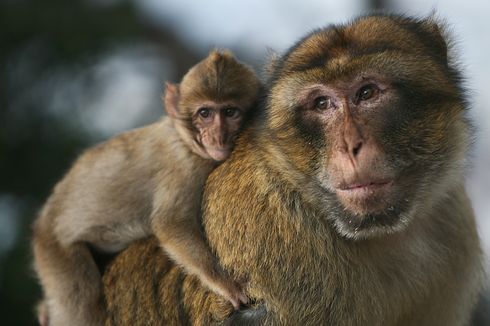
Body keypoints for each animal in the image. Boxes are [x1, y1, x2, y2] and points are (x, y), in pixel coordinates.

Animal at [32, 49, 260, 324]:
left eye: (229, 112)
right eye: (205, 113)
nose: (218, 135)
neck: (185, 139)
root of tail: (44, 218)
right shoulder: (185, 167)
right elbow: (170, 224)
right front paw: (225, 284)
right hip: (55, 249)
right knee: (80, 305)